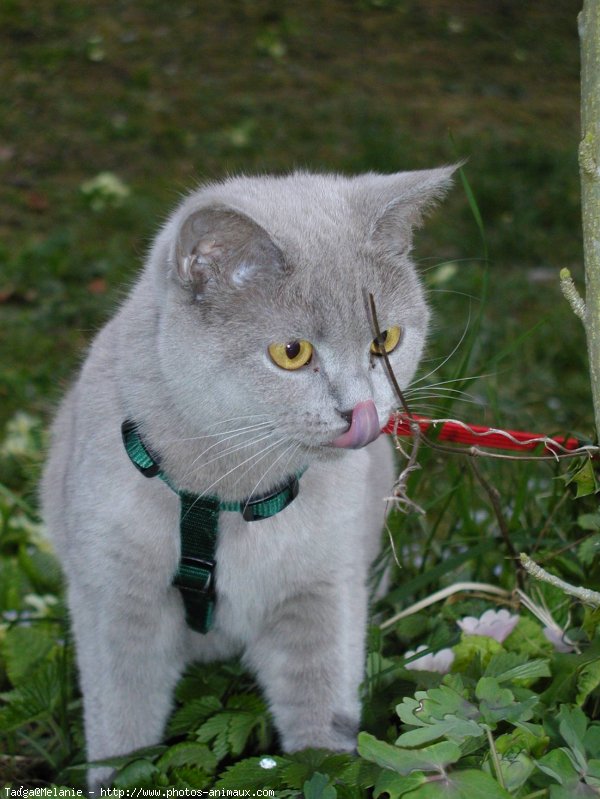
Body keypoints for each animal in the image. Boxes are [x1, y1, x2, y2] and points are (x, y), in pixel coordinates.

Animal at [41, 166, 454, 792]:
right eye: (292, 352)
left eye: (385, 341)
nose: (361, 411)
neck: (226, 496)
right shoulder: (115, 600)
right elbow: (122, 728)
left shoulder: (321, 590)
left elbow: (321, 714)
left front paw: (328, 770)